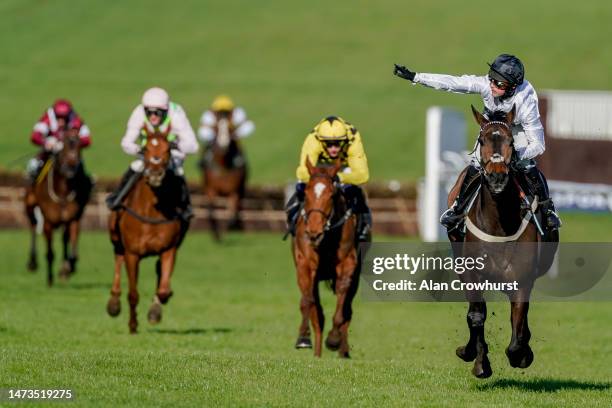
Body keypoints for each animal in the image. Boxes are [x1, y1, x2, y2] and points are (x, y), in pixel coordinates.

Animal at [24, 129, 91, 286]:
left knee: (64, 239)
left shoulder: (72, 218)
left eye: (79, 146)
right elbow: (50, 252)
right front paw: (49, 279)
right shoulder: (48, 221)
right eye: (64, 146)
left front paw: (67, 269)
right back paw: (32, 263)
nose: (71, 167)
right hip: (30, 204)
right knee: (33, 226)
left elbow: (72, 249)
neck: (63, 190)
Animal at [107, 128, 189, 334]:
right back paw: (113, 303)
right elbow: (133, 293)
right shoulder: (132, 253)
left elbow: (163, 289)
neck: (152, 210)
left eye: (168, 149)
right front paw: (133, 325)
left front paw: (155, 311)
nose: (155, 174)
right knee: (117, 259)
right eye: (145, 149)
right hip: (116, 239)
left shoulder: (169, 249)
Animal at [202, 113, 247, 241]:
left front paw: (229, 228)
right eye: (217, 128)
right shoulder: (211, 188)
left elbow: (232, 215)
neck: (223, 166)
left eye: (230, 128)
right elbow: (211, 210)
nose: (223, 145)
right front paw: (216, 235)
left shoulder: (234, 190)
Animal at [290, 159, 366, 356]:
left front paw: (333, 338)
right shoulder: (305, 263)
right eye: (306, 193)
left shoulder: (348, 263)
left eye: (331, 195)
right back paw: (317, 353)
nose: (314, 232)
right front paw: (303, 338)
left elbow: (342, 297)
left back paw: (343, 350)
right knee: (317, 313)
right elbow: (308, 302)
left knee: (347, 309)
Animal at [450, 106, 560, 380]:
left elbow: (517, 329)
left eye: (511, 142)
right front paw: (477, 359)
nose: (497, 178)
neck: (498, 223)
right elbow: (476, 315)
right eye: (482, 140)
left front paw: (522, 355)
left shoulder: (522, 278)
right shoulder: (471, 273)